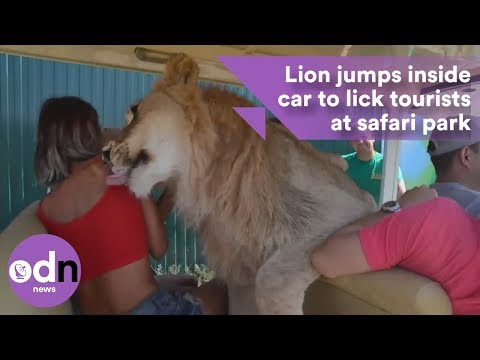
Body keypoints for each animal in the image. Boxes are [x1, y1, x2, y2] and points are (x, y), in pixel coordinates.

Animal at [102, 53, 378, 316]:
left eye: (135, 111)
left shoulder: (346, 209)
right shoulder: (239, 272)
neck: (209, 175)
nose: (104, 153)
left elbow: (270, 278)